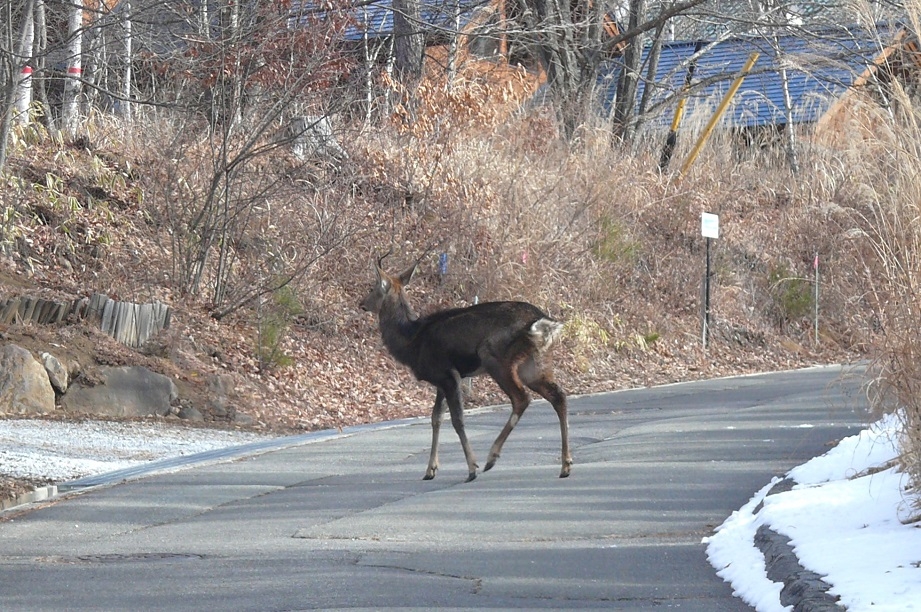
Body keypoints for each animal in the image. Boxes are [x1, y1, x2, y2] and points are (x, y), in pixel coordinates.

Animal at [358, 255, 568, 482]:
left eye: (373, 287)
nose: (361, 303)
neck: (412, 341)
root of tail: (542, 322)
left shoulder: (448, 375)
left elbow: (457, 420)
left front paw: (471, 468)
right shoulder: (440, 381)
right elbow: (436, 418)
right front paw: (430, 469)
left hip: (496, 358)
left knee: (521, 398)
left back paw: (491, 457)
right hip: (535, 364)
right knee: (558, 395)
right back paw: (565, 465)